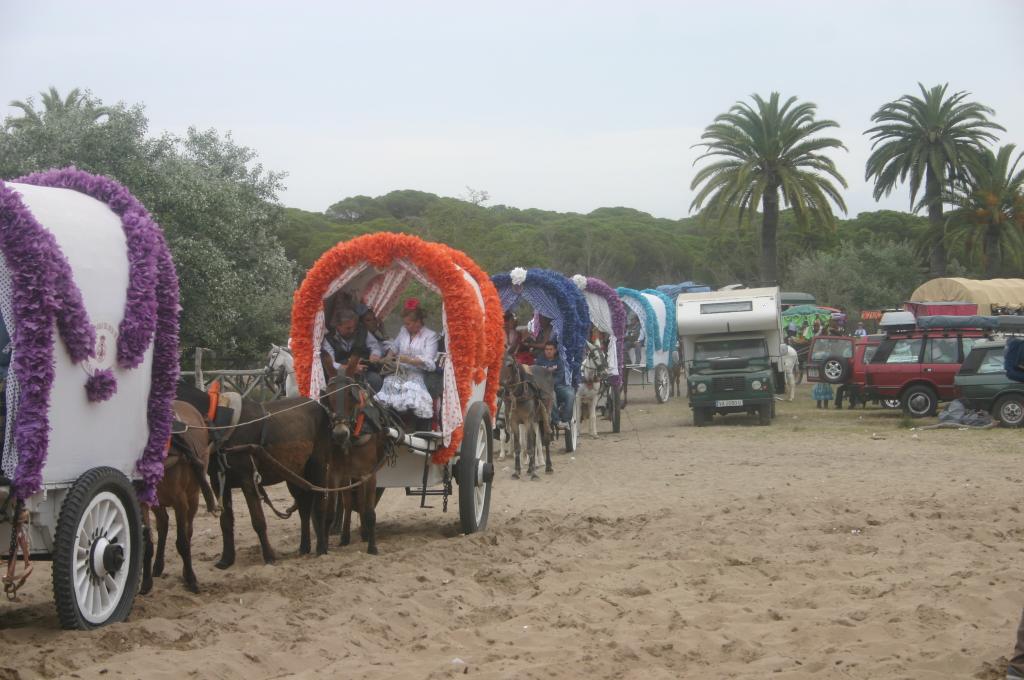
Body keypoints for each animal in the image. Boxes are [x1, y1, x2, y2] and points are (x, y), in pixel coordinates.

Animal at [140, 401, 218, 593]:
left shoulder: (180, 500)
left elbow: (182, 542)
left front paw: (191, 579)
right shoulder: (143, 501)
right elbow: (147, 543)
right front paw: (146, 583)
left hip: (193, 496)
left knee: (188, 531)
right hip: (158, 502)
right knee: (163, 524)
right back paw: (158, 566)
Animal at [497, 352, 552, 481]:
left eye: (509, 364)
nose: (500, 388)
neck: (519, 395)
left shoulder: (528, 421)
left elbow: (530, 445)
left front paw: (534, 473)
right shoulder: (514, 422)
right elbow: (519, 445)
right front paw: (517, 471)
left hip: (545, 417)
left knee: (545, 439)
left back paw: (547, 466)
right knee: (534, 440)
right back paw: (530, 467)